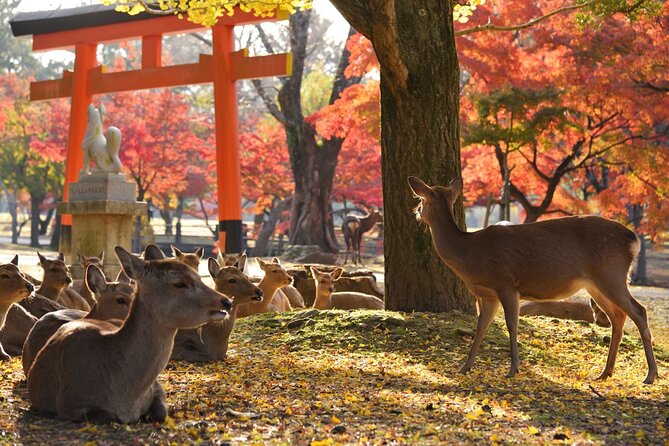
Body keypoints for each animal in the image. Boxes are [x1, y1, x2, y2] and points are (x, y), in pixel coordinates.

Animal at [26, 246, 234, 424]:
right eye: (180, 283)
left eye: (198, 275)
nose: (226, 302)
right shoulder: (68, 402)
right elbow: (109, 416)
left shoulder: (157, 388)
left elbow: (162, 411)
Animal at [408, 176, 656, 386]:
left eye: (421, 199)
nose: (416, 211)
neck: (469, 254)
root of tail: (633, 239)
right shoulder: (487, 295)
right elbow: (481, 327)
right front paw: (464, 367)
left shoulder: (507, 283)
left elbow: (511, 324)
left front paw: (513, 369)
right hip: (595, 285)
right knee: (618, 317)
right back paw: (605, 372)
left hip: (611, 275)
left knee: (639, 311)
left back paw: (650, 375)